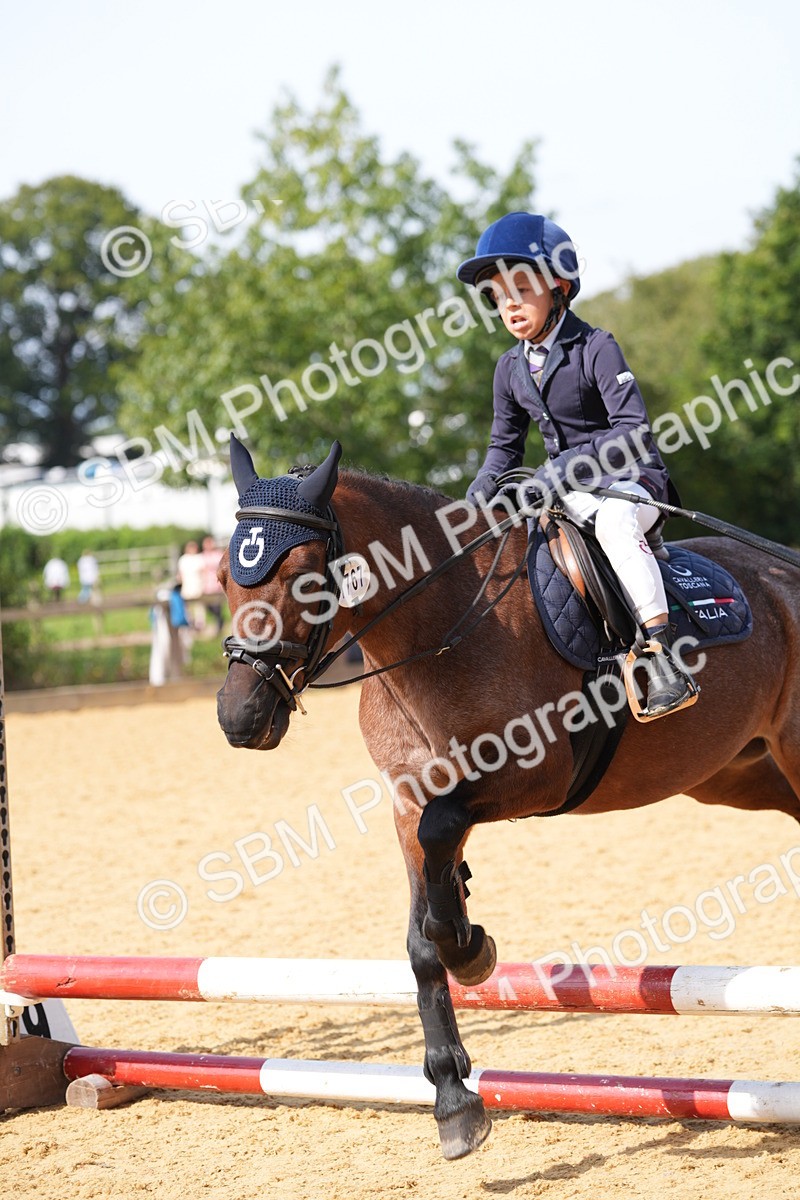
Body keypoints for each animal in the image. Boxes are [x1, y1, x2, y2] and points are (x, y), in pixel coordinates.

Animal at [216, 436, 800, 1160]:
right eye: (224, 576)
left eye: (301, 576)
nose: (239, 716)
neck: (440, 632)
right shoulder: (408, 801)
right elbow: (421, 940)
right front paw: (453, 1098)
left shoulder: (531, 779)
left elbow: (441, 860)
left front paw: (471, 949)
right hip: (736, 775)